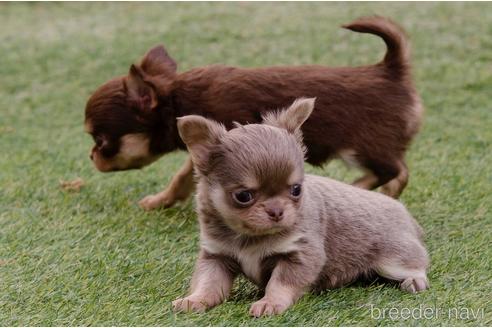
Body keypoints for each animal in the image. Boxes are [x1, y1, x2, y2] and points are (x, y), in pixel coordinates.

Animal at [84, 16, 422, 209]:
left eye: (101, 141)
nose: (91, 156)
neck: (178, 100)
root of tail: (390, 70)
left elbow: (183, 175)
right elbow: (185, 176)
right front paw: (162, 201)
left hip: (362, 147)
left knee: (393, 171)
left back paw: (363, 190)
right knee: (397, 172)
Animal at [172, 98, 426, 316]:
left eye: (296, 190)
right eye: (243, 196)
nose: (277, 211)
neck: (249, 237)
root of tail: (403, 211)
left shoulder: (300, 256)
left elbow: (280, 283)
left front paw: (270, 303)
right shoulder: (217, 257)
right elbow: (209, 284)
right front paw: (194, 300)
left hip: (393, 260)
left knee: (418, 262)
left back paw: (414, 280)